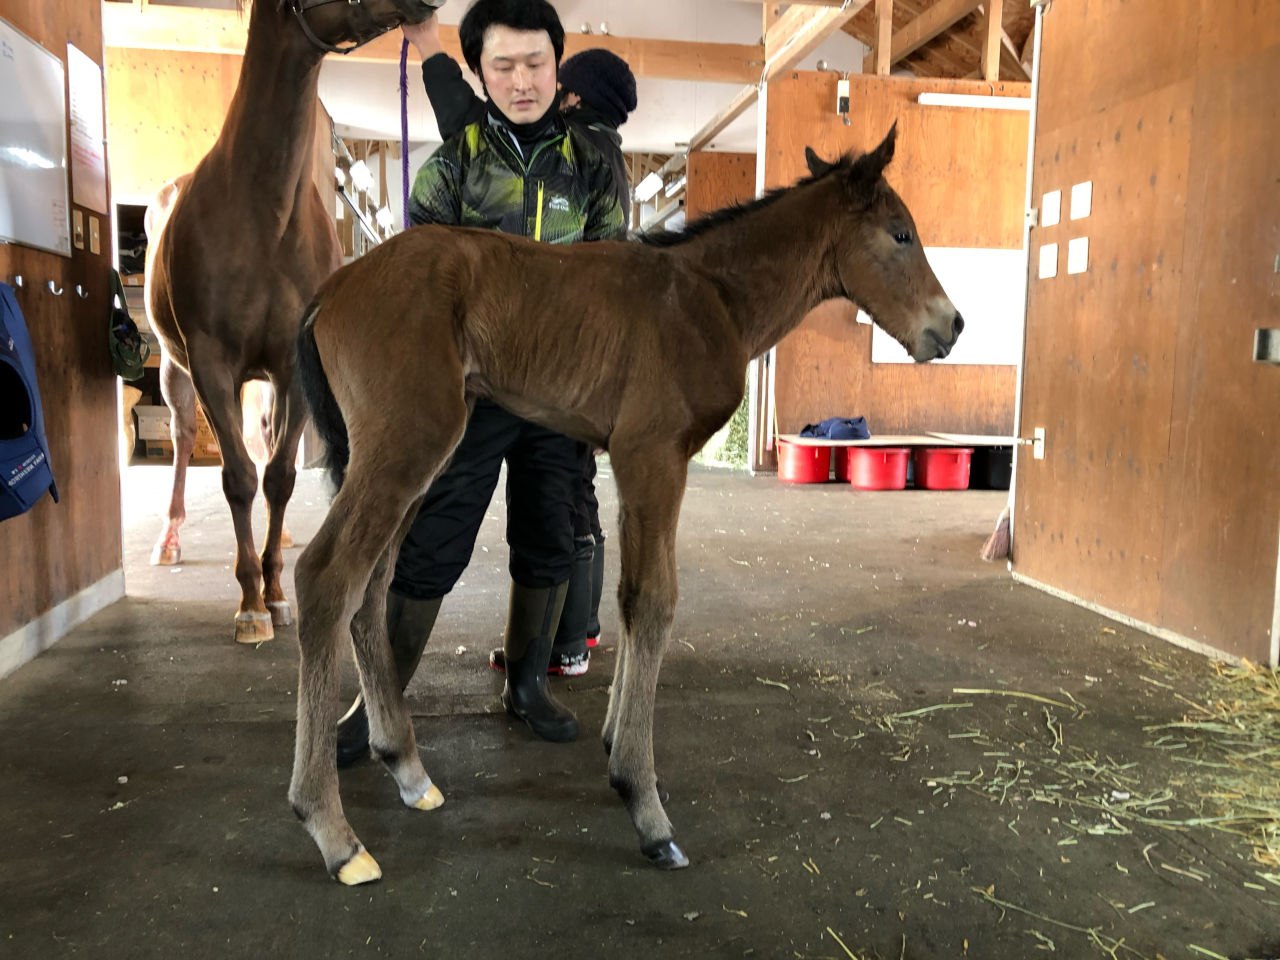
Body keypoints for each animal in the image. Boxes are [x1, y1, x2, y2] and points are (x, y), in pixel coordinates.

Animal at [143, 0, 438, 643]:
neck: (262, 212)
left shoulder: (290, 365)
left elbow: (278, 476)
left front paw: (275, 591)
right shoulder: (211, 362)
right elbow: (237, 477)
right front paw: (250, 605)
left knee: (266, 444)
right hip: (176, 368)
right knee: (184, 438)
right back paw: (170, 538)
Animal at [288, 126, 964, 884]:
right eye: (901, 234)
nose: (953, 326)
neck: (712, 298)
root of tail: (333, 288)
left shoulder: (633, 463)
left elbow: (625, 594)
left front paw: (616, 746)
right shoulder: (653, 455)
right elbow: (653, 600)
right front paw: (645, 804)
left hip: (414, 457)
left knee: (371, 591)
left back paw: (406, 769)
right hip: (409, 444)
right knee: (326, 579)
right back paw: (335, 833)